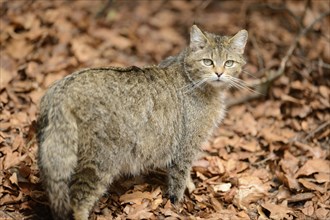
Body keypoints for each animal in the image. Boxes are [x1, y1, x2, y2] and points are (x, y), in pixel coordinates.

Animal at [36, 24, 248, 219]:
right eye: (207, 62)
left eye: (229, 63)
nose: (219, 73)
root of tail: (63, 87)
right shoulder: (187, 145)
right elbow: (179, 177)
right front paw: (178, 205)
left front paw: (190, 185)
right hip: (100, 161)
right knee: (79, 200)